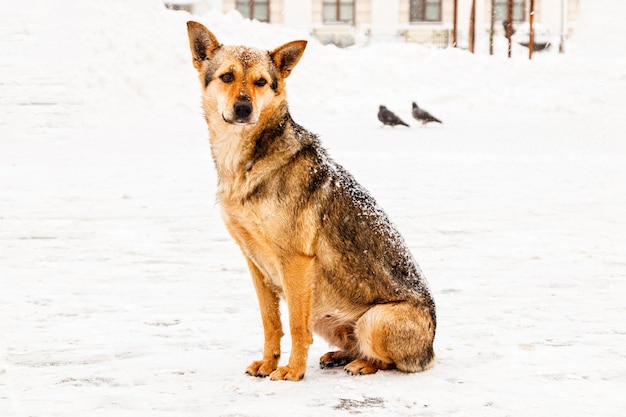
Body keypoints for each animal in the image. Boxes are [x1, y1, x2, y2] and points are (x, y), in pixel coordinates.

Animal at [185, 22, 434, 380]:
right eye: (227, 77)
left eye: (261, 82)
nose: (244, 109)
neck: (246, 161)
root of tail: (431, 350)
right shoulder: (254, 262)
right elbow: (271, 323)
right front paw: (268, 363)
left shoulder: (295, 260)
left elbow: (295, 325)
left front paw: (292, 371)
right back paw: (339, 355)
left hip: (375, 319)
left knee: (386, 361)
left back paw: (362, 363)